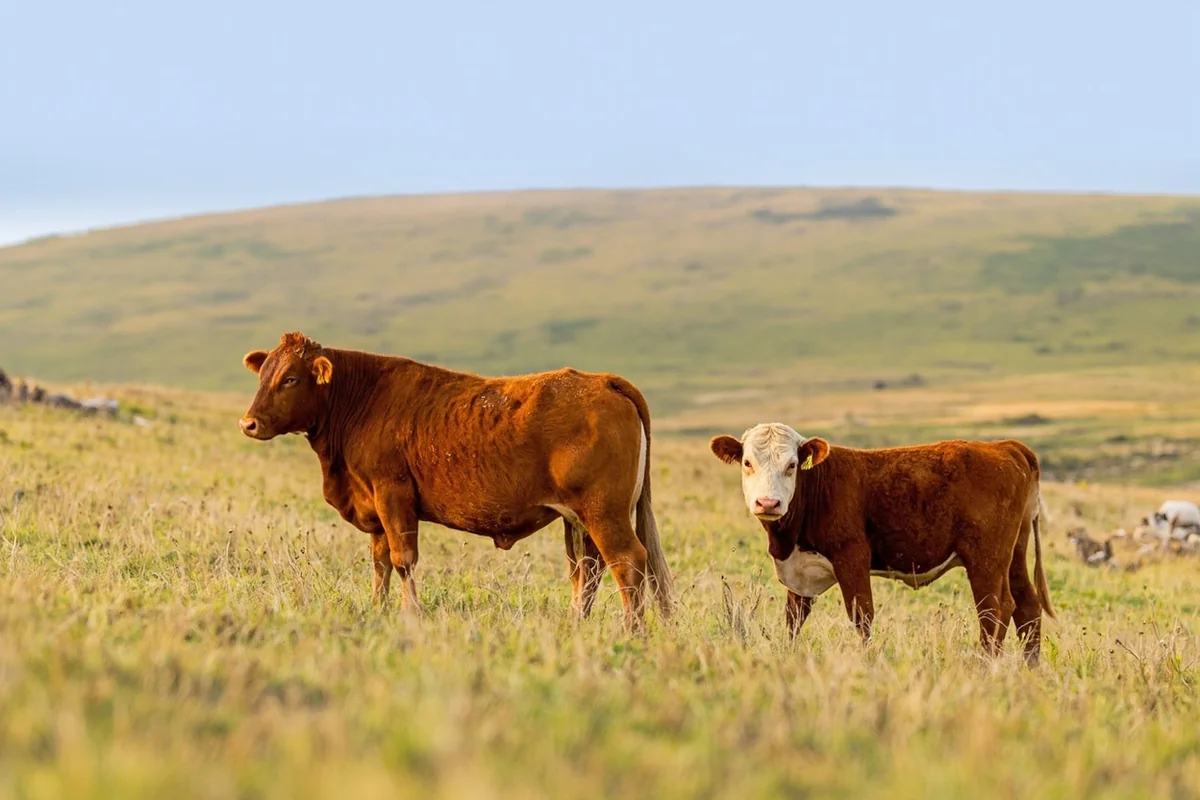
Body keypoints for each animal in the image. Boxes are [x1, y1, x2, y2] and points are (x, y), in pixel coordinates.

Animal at [239, 332, 673, 630]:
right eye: (263, 375)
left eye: (291, 379)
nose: (249, 423)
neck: (360, 399)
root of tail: (603, 380)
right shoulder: (374, 506)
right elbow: (380, 563)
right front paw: (378, 610)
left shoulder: (393, 495)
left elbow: (403, 560)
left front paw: (411, 614)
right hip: (578, 519)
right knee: (587, 570)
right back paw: (577, 626)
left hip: (604, 513)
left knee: (628, 562)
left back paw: (630, 632)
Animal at [710, 423, 1055, 663]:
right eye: (748, 463)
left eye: (792, 465)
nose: (768, 503)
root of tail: (1004, 446)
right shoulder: (799, 571)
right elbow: (794, 619)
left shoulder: (852, 556)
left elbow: (861, 616)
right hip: (1014, 553)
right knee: (1027, 605)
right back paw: (1030, 670)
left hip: (986, 557)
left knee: (995, 608)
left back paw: (986, 668)